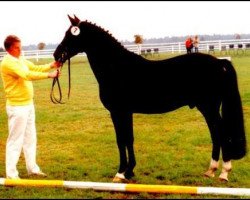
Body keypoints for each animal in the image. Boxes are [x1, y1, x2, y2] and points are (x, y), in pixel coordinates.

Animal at [53, 14, 246, 182]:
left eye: (71, 34)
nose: (56, 54)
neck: (116, 68)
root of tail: (219, 62)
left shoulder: (118, 112)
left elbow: (121, 140)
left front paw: (120, 173)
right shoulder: (125, 112)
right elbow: (128, 139)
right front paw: (129, 171)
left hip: (209, 107)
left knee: (221, 133)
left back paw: (224, 172)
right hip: (207, 108)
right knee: (215, 133)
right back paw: (211, 170)